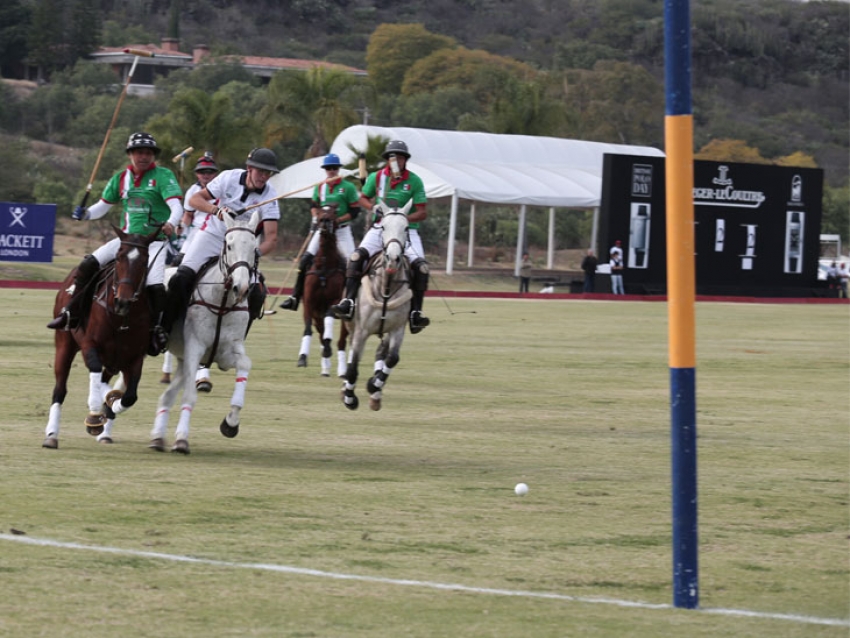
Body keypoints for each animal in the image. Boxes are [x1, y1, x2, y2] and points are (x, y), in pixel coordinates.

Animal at [43, 228, 159, 448]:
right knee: (59, 389)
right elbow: (95, 371)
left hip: (115, 360)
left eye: (144, 261)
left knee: (107, 381)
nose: (122, 301)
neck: (120, 318)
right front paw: (96, 414)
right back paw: (51, 435)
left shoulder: (135, 357)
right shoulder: (90, 344)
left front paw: (110, 405)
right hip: (64, 344)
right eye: (119, 257)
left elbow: (130, 396)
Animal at [149, 212, 260, 458]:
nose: (241, 287)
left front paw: (230, 423)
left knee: (166, 396)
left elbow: (245, 365)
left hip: (181, 359)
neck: (222, 300)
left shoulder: (226, 352)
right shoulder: (195, 347)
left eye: (254, 249)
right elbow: (190, 396)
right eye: (229, 245)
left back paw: (157, 437)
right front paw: (181, 440)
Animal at [298, 208, 348, 378]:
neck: (324, 265)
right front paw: (302, 357)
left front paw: (327, 349)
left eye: (334, 213)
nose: (325, 222)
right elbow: (308, 329)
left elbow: (329, 319)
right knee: (321, 333)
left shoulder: (335, 300)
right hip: (317, 315)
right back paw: (325, 369)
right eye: (319, 215)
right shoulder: (309, 302)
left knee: (342, 341)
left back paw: (342, 370)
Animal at [342, 201, 414, 416]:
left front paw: (373, 385)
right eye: (383, 227)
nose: (393, 258)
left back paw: (375, 394)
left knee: (381, 353)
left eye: (406, 228)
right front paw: (350, 399)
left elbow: (392, 358)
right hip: (351, 326)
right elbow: (353, 367)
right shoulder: (362, 330)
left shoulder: (397, 328)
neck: (386, 286)